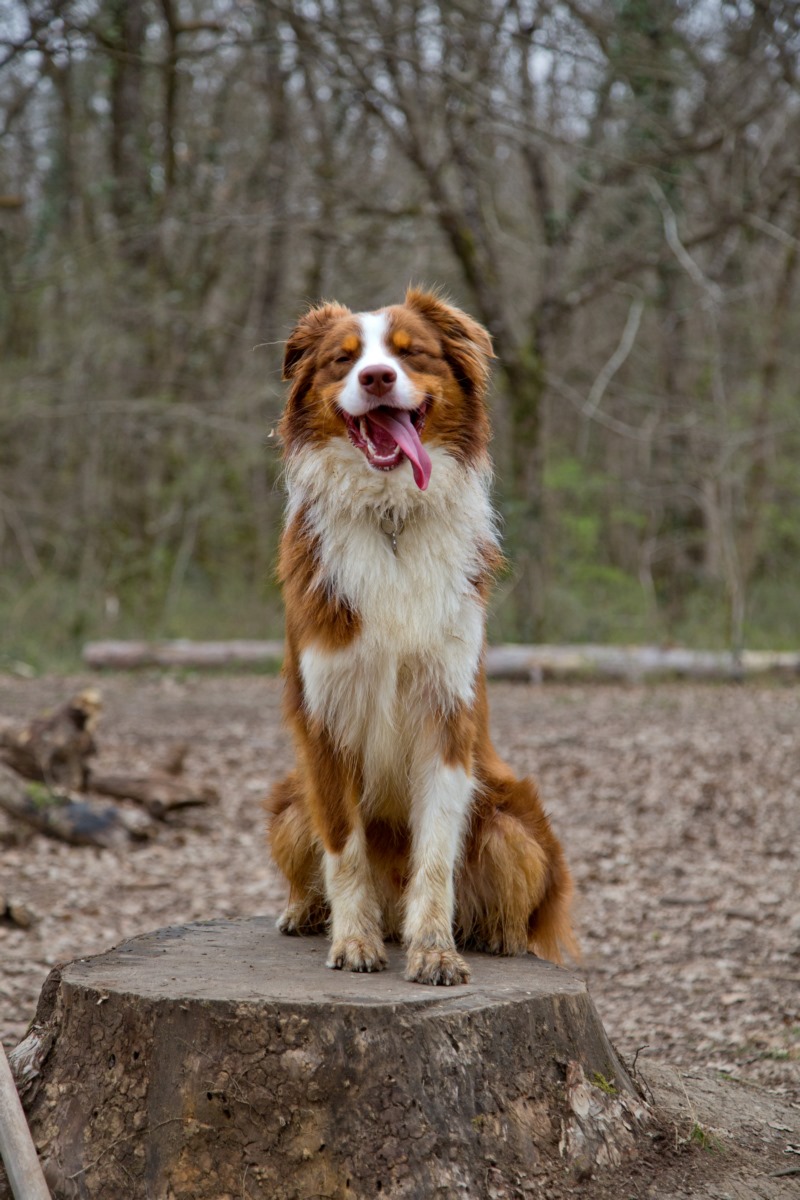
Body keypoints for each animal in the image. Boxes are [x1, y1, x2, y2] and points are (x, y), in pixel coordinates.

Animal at [267, 290, 575, 984]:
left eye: (411, 354)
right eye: (344, 359)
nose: (377, 378)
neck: (392, 514)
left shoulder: (446, 707)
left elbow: (436, 850)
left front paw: (434, 947)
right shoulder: (324, 716)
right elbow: (344, 847)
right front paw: (354, 940)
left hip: (515, 827)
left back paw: (496, 937)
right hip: (291, 803)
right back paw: (307, 913)